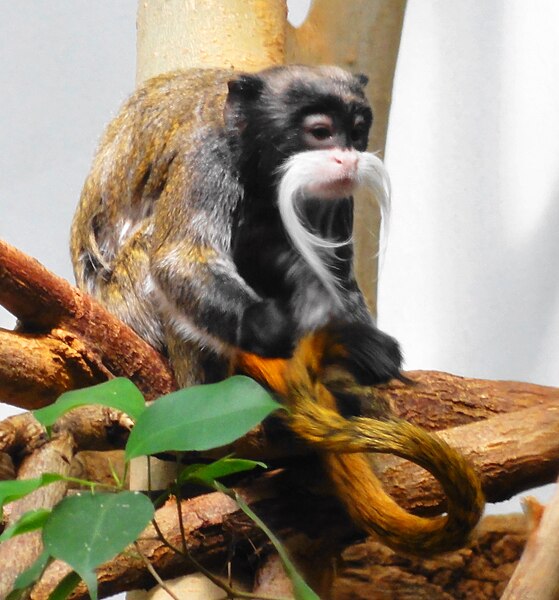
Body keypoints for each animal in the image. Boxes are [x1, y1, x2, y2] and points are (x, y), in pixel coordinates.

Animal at [71, 65, 486, 552]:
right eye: (321, 133)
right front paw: (296, 332)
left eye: (356, 132)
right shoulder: (207, 157)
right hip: (128, 301)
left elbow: (338, 277)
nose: (346, 159)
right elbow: (179, 259)